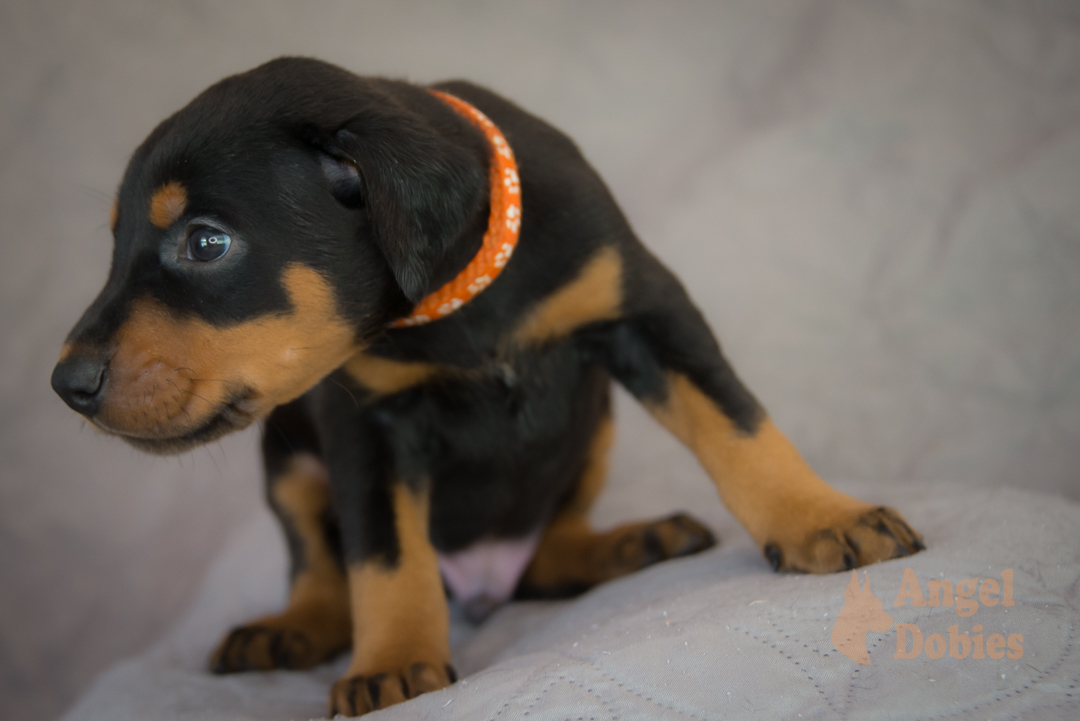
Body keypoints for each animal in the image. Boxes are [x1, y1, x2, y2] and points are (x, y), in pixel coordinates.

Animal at [50, 57, 924, 716]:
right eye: (117, 244)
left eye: (205, 242)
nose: (67, 382)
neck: (462, 302)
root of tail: (478, 582)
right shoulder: (365, 422)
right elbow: (383, 554)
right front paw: (393, 659)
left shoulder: (646, 312)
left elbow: (738, 423)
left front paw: (821, 517)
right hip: (287, 457)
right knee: (318, 564)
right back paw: (291, 626)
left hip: (594, 427)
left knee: (547, 551)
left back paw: (627, 542)